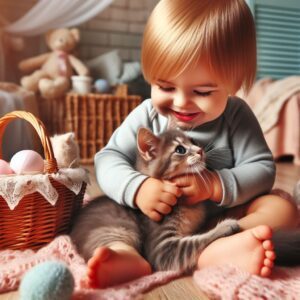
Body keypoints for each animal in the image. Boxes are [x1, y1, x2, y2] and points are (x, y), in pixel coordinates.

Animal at [69, 127, 239, 274]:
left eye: (193, 141)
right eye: (180, 150)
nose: (200, 150)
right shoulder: (163, 248)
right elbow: (195, 242)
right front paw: (225, 226)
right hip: (116, 231)